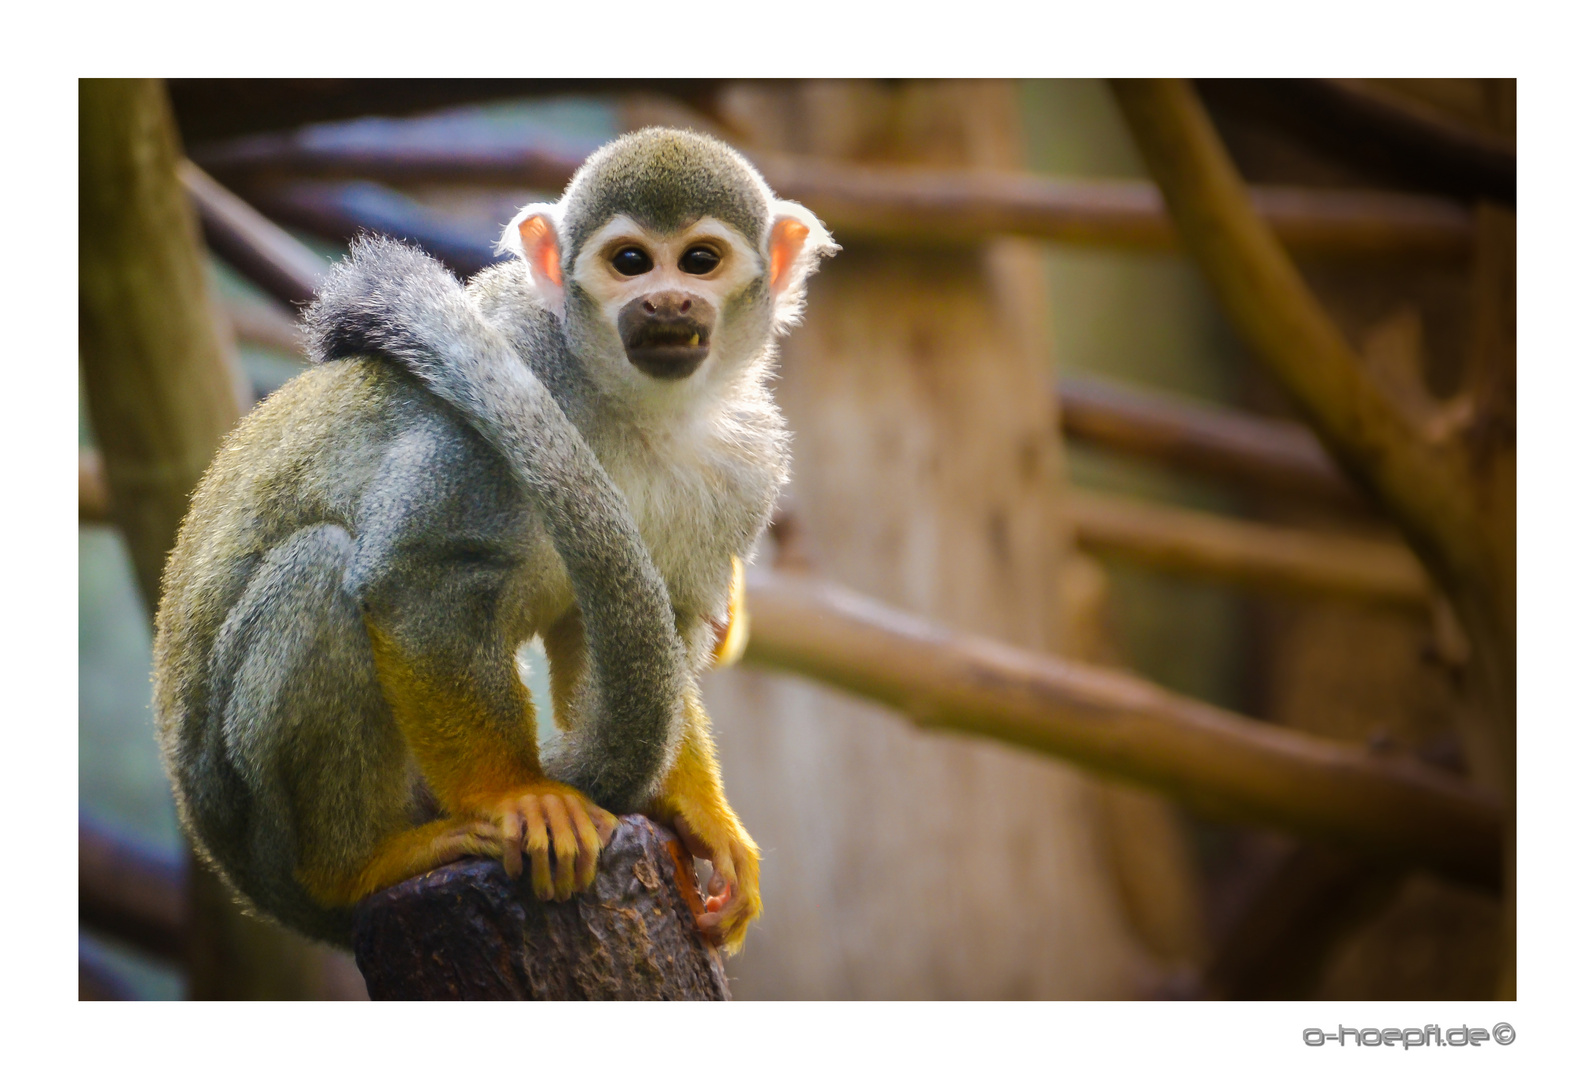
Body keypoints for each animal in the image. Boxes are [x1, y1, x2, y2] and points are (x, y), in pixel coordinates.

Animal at [152, 128, 835, 950]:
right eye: (630, 261)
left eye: (699, 260)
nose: (666, 300)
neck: (631, 403)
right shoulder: (509, 372)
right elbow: (420, 574)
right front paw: (517, 798)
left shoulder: (747, 464)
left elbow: (629, 630)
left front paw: (693, 809)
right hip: (249, 817)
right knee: (319, 570)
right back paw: (355, 867)